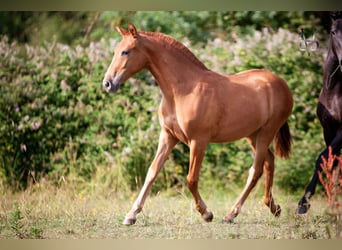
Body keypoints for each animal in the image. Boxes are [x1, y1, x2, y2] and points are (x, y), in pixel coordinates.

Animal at [103, 23, 292, 226]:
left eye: (126, 52)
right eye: (116, 51)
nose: (107, 83)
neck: (183, 90)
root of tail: (281, 83)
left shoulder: (198, 141)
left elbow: (191, 179)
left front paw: (206, 213)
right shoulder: (168, 136)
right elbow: (152, 172)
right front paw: (131, 215)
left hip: (266, 132)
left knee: (255, 171)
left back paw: (231, 214)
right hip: (252, 135)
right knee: (269, 162)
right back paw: (274, 208)